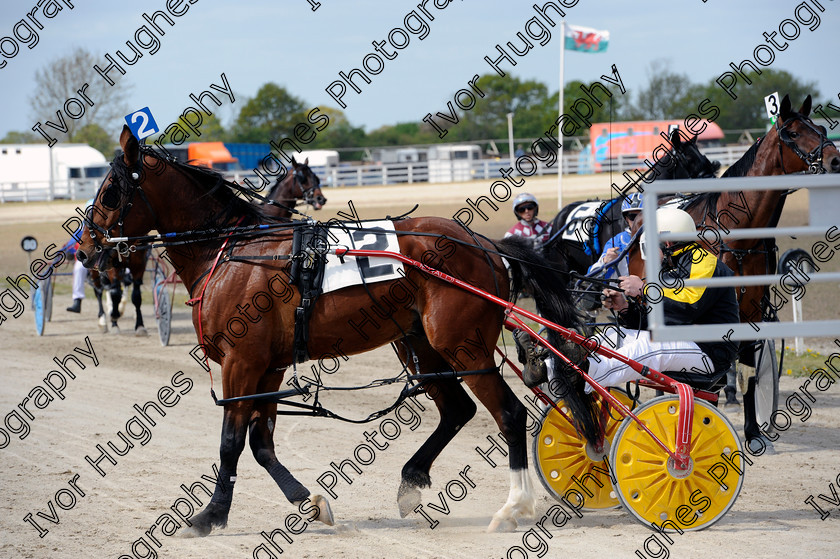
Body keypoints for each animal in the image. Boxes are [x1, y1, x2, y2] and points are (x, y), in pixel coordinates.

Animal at [77, 126, 596, 532]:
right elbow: (261, 444)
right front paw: (308, 502)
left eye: (109, 191)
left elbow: (231, 441)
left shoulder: (241, 363)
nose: (85, 249)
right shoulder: (267, 368)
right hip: (420, 346)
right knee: (457, 410)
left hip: (463, 346)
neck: (231, 253)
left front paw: (211, 515)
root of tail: (486, 245)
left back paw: (514, 506)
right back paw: (411, 481)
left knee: (509, 413)